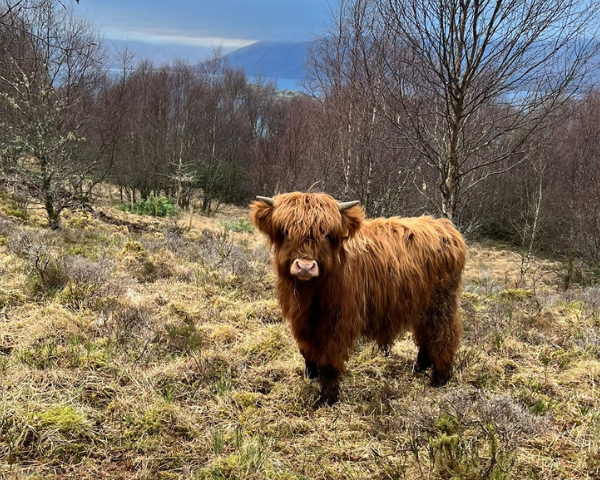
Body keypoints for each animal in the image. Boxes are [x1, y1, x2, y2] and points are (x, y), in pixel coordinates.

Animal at [251, 191, 466, 404]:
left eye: (326, 235)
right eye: (285, 232)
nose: (305, 267)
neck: (310, 292)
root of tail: (444, 226)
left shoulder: (337, 321)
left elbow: (329, 361)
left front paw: (327, 398)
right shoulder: (301, 319)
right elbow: (306, 350)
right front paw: (311, 375)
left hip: (441, 303)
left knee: (444, 334)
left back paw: (440, 377)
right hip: (422, 305)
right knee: (426, 333)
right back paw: (421, 365)